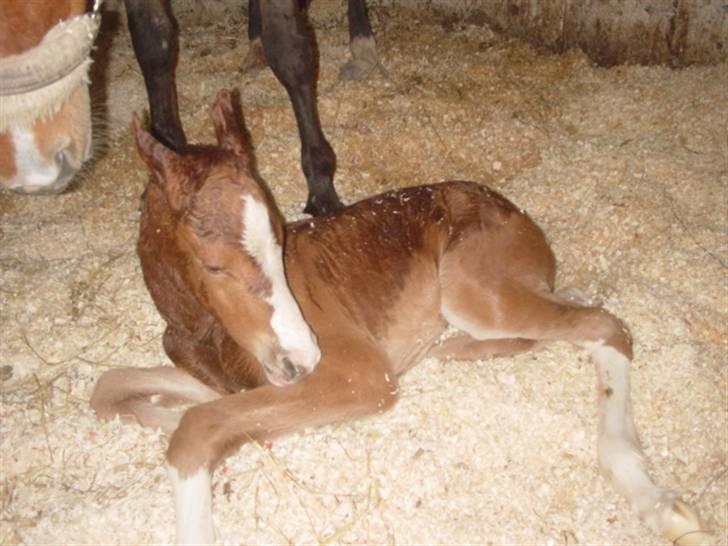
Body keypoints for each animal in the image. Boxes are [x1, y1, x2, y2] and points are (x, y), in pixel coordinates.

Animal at [89, 91, 704, 540]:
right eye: (213, 265)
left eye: (281, 238)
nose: (303, 357)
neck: (203, 333)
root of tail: (519, 215)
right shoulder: (231, 379)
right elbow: (110, 387)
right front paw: (176, 418)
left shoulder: (359, 374)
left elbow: (196, 429)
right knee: (563, 314)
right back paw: (456, 347)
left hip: (474, 292)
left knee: (606, 326)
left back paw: (653, 498)